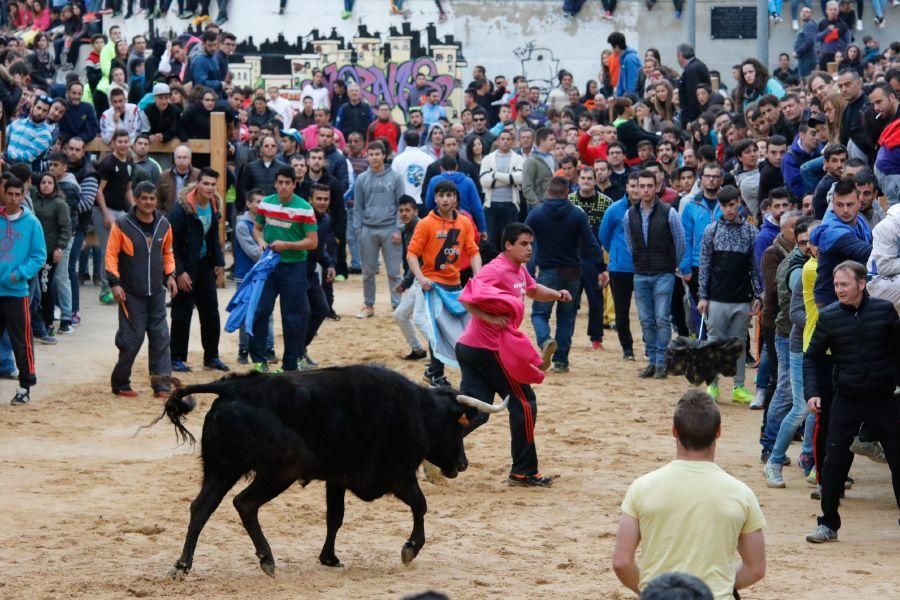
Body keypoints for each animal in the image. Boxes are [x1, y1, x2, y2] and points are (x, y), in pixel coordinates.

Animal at [152, 364, 510, 580]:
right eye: (458, 426)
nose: (462, 464)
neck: (418, 410)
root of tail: (232, 389)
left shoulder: (337, 479)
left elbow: (334, 517)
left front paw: (329, 558)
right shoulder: (399, 475)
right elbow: (421, 505)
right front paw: (410, 549)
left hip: (222, 468)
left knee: (201, 508)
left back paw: (182, 565)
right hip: (281, 468)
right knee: (245, 504)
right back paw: (267, 559)